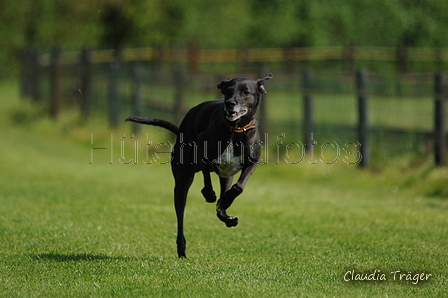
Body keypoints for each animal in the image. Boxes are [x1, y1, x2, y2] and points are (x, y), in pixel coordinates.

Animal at [126, 74, 272, 256]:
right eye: (228, 90)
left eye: (246, 92)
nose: (230, 103)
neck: (234, 129)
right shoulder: (202, 150)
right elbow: (207, 180)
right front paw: (209, 194)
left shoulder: (252, 163)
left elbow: (238, 187)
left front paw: (225, 202)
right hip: (182, 182)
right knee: (180, 214)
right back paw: (182, 249)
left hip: (226, 177)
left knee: (223, 197)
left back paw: (227, 215)